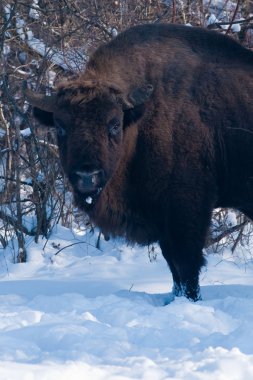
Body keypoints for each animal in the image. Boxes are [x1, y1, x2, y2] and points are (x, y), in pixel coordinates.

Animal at [25, 24, 253, 302]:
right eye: (60, 126)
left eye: (114, 124)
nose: (87, 175)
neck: (140, 120)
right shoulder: (162, 217)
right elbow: (173, 266)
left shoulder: (187, 210)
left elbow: (187, 263)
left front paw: (190, 300)